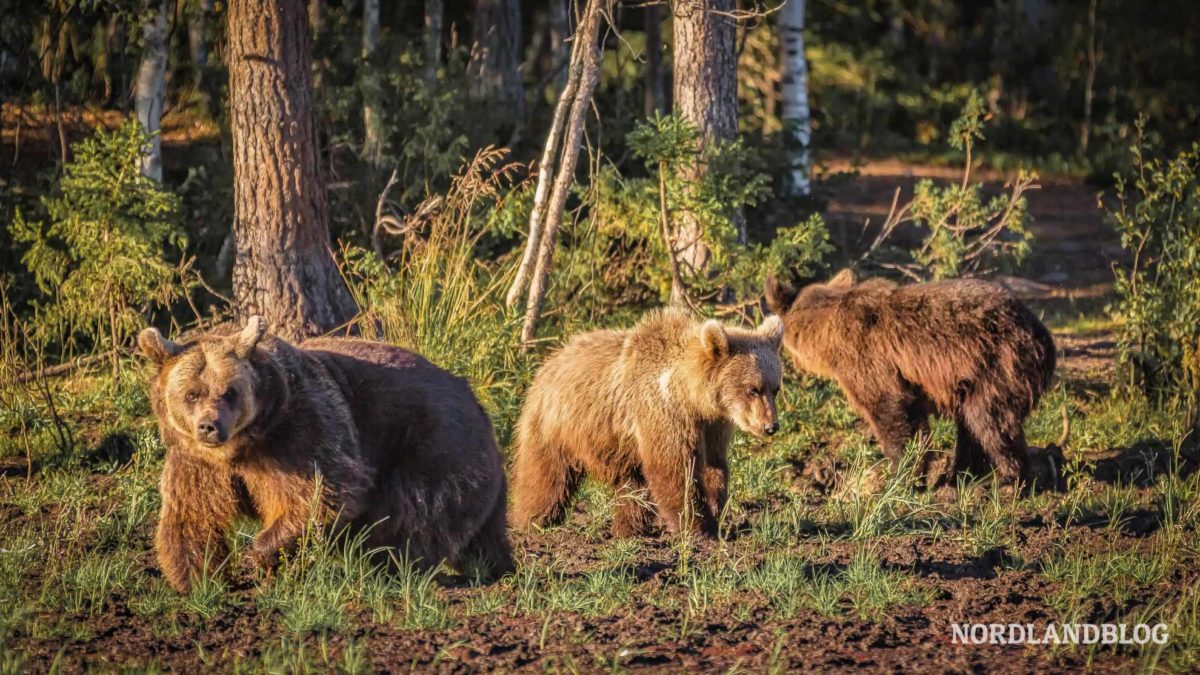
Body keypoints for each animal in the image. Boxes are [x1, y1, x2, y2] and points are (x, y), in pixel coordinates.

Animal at [140, 314, 516, 588]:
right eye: (191, 393)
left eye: (229, 391)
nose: (210, 426)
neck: (243, 447)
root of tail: (478, 405)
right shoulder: (197, 461)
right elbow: (193, 514)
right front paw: (199, 579)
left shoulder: (299, 435)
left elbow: (320, 494)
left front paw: (261, 556)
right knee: (479, 534)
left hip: (436, 446)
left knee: (412, 512)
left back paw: (388, 566)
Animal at [508, 307, 782, 533]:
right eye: (753, 389)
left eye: (775, 388)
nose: (770, 426)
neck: (691, 396)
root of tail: (549, 361)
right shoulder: (663, 413)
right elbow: (674, 470)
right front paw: (697, 526)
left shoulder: (712, 425)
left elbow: (713, 465)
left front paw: (716, 511)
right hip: (555, 423)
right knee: (546, 477)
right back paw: (533, 521)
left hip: (618, 445)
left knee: (632, 486)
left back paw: (628, 528)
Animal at [763, 270, 1056, 485]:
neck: (827, 334)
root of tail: (1044, 336)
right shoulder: (909, 381)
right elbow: (915, 422)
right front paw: (918, 471)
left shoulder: (869, 361)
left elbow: (889, 413)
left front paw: (898, 475)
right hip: (974, 378)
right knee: (971, 425)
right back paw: (960, 476)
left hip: (998, 364)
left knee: (990, 421)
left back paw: (1007, 480)